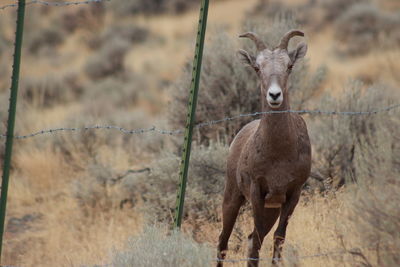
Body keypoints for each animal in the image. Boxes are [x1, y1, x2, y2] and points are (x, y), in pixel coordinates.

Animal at [216, 29, 312, 266]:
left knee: (249, 238)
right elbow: (258, 242)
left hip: (271, 211)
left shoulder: (292, 195)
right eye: (257, 68)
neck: (279, 153)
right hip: (232, 198)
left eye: (289, 66)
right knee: (223, 242)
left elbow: (278, 240)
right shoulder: (256, 192)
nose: (274, 95)